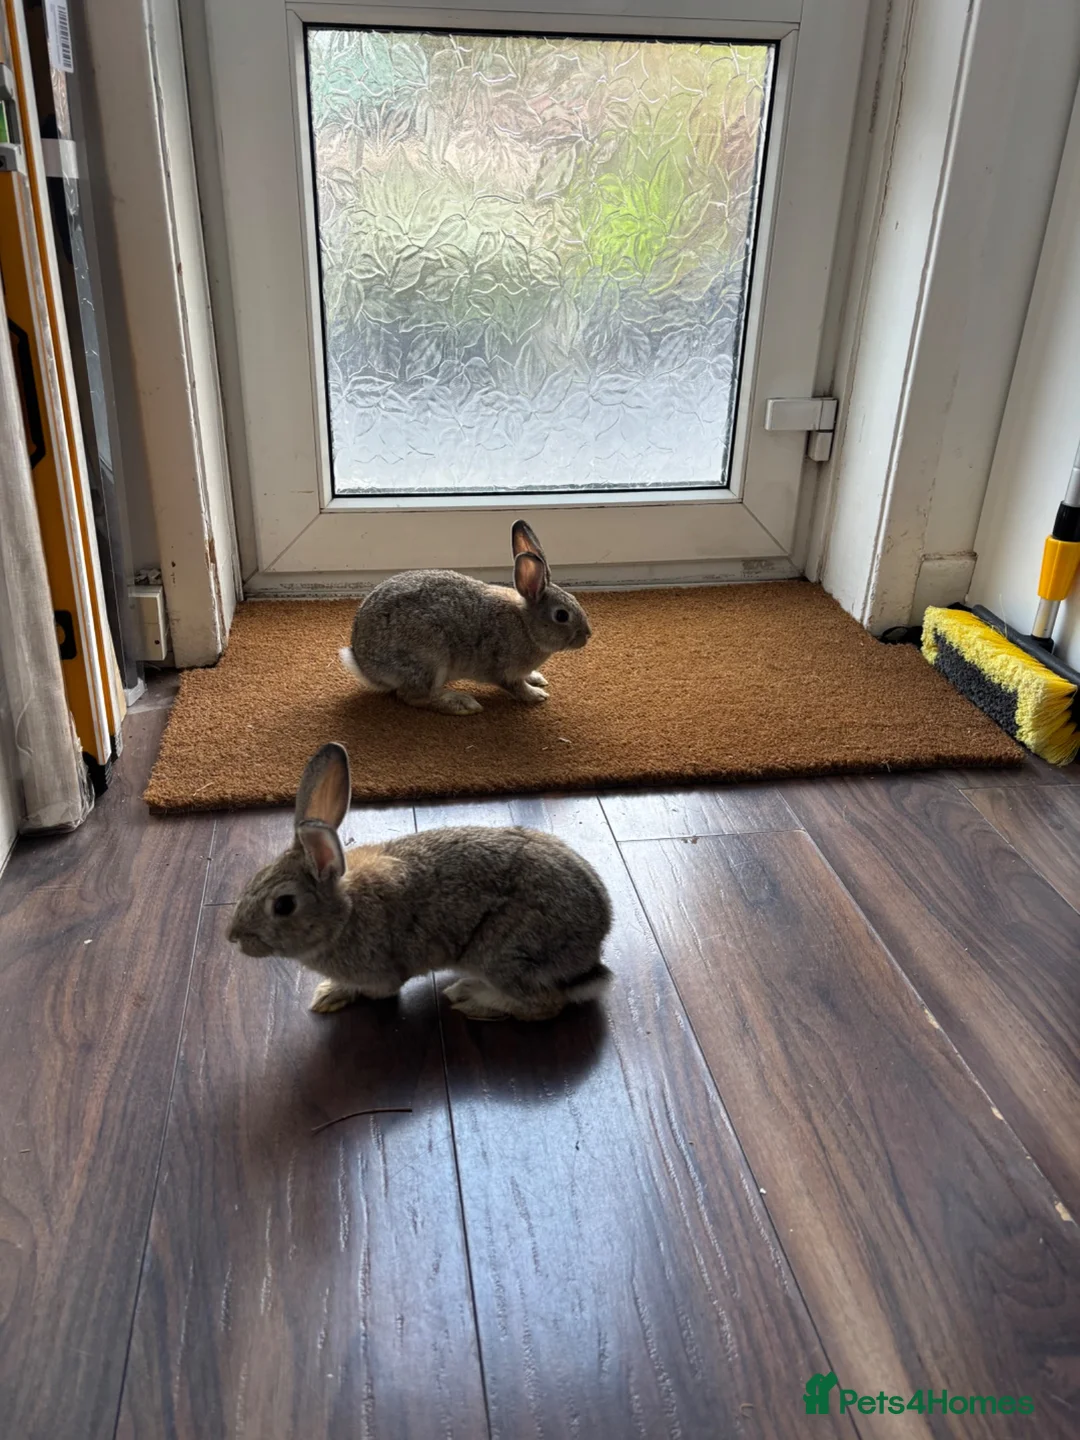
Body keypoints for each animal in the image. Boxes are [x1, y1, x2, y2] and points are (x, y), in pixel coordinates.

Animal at [226, 742, 614, 1022]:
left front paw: (333, 994)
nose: (233, 937)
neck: (344, 914)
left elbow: (375, 989)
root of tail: (593, 947)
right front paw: (327, 994)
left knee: (546, 1004)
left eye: (283, 905)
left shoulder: (379, 975)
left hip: (503, 954)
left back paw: (472, 999)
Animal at [338, 519, 592, 715]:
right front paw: (536, 695)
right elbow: (516, 687)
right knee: (413, 696)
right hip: (429, 659)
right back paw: (462, 704)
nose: (587, 635)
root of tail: (365, 666)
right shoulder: (505, 668)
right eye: (561, 615)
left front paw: (537, 679)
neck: (526, 626)